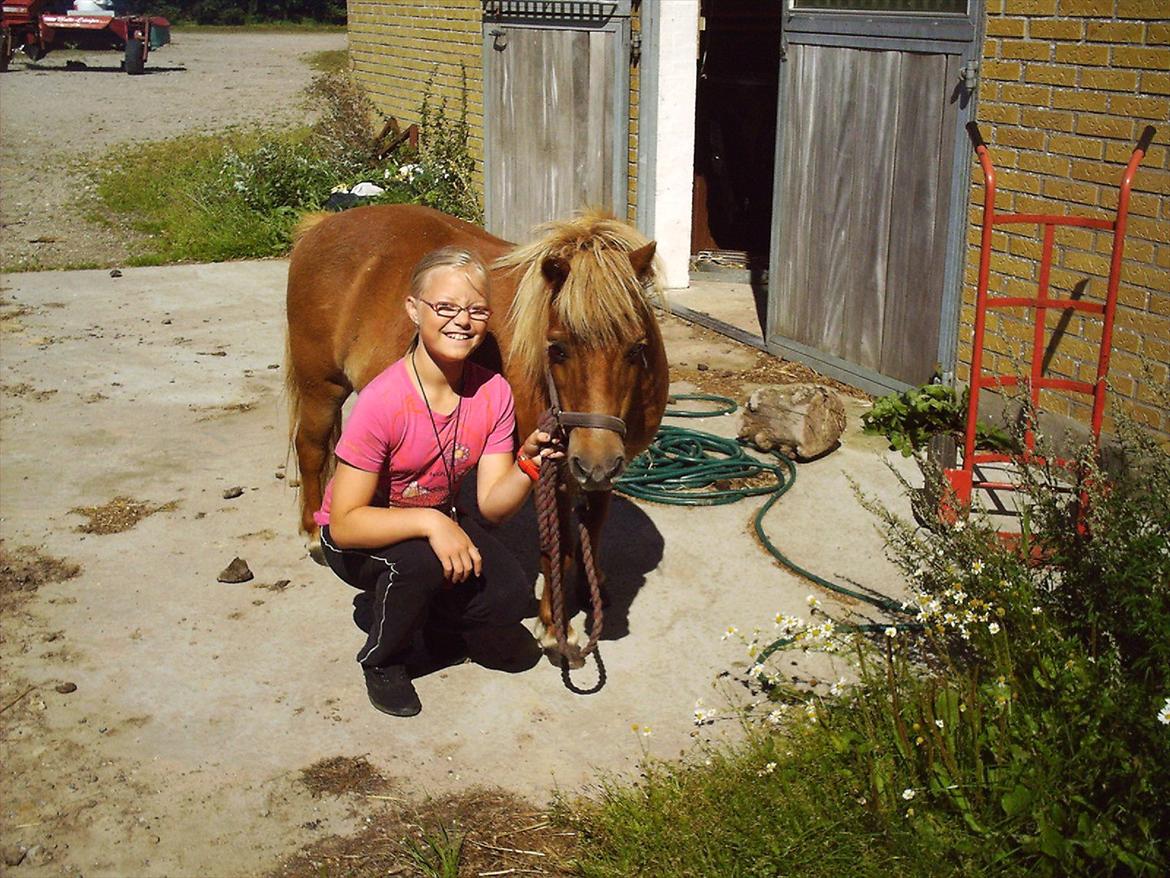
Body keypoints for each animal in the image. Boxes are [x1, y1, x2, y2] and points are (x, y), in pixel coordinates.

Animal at [283, 206, 669, 655]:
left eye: (637, 348)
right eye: (556, 348)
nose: (595, 460)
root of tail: (323, 224)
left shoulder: (597, 476)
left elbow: (592, 529)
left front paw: (593, 592)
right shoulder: (553, 471)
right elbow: (557, 548)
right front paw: (554, 629)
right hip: (321, 388)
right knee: (311, 450)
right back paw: (313, 535)